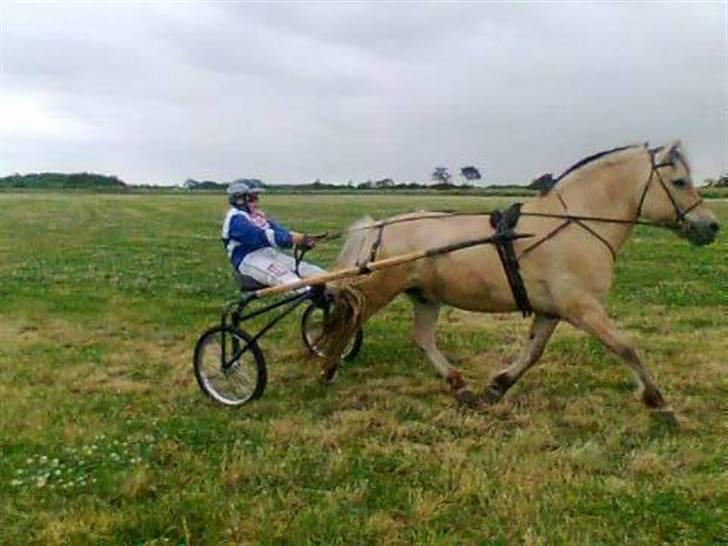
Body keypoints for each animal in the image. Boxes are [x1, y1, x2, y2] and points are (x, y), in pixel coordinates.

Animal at [322, 140, 716, 412]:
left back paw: (460, 385)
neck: (575, 223)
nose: (711, 226)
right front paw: (657, 400)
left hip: (425, 297)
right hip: (378, 290)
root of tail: (380, 227)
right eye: (679, 181)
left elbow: (532, 352)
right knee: (346, 323)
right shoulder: (582, 308)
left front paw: (496, 387)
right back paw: (326, 370)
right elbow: (625, 346)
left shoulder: (551, 310)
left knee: (422, 338)